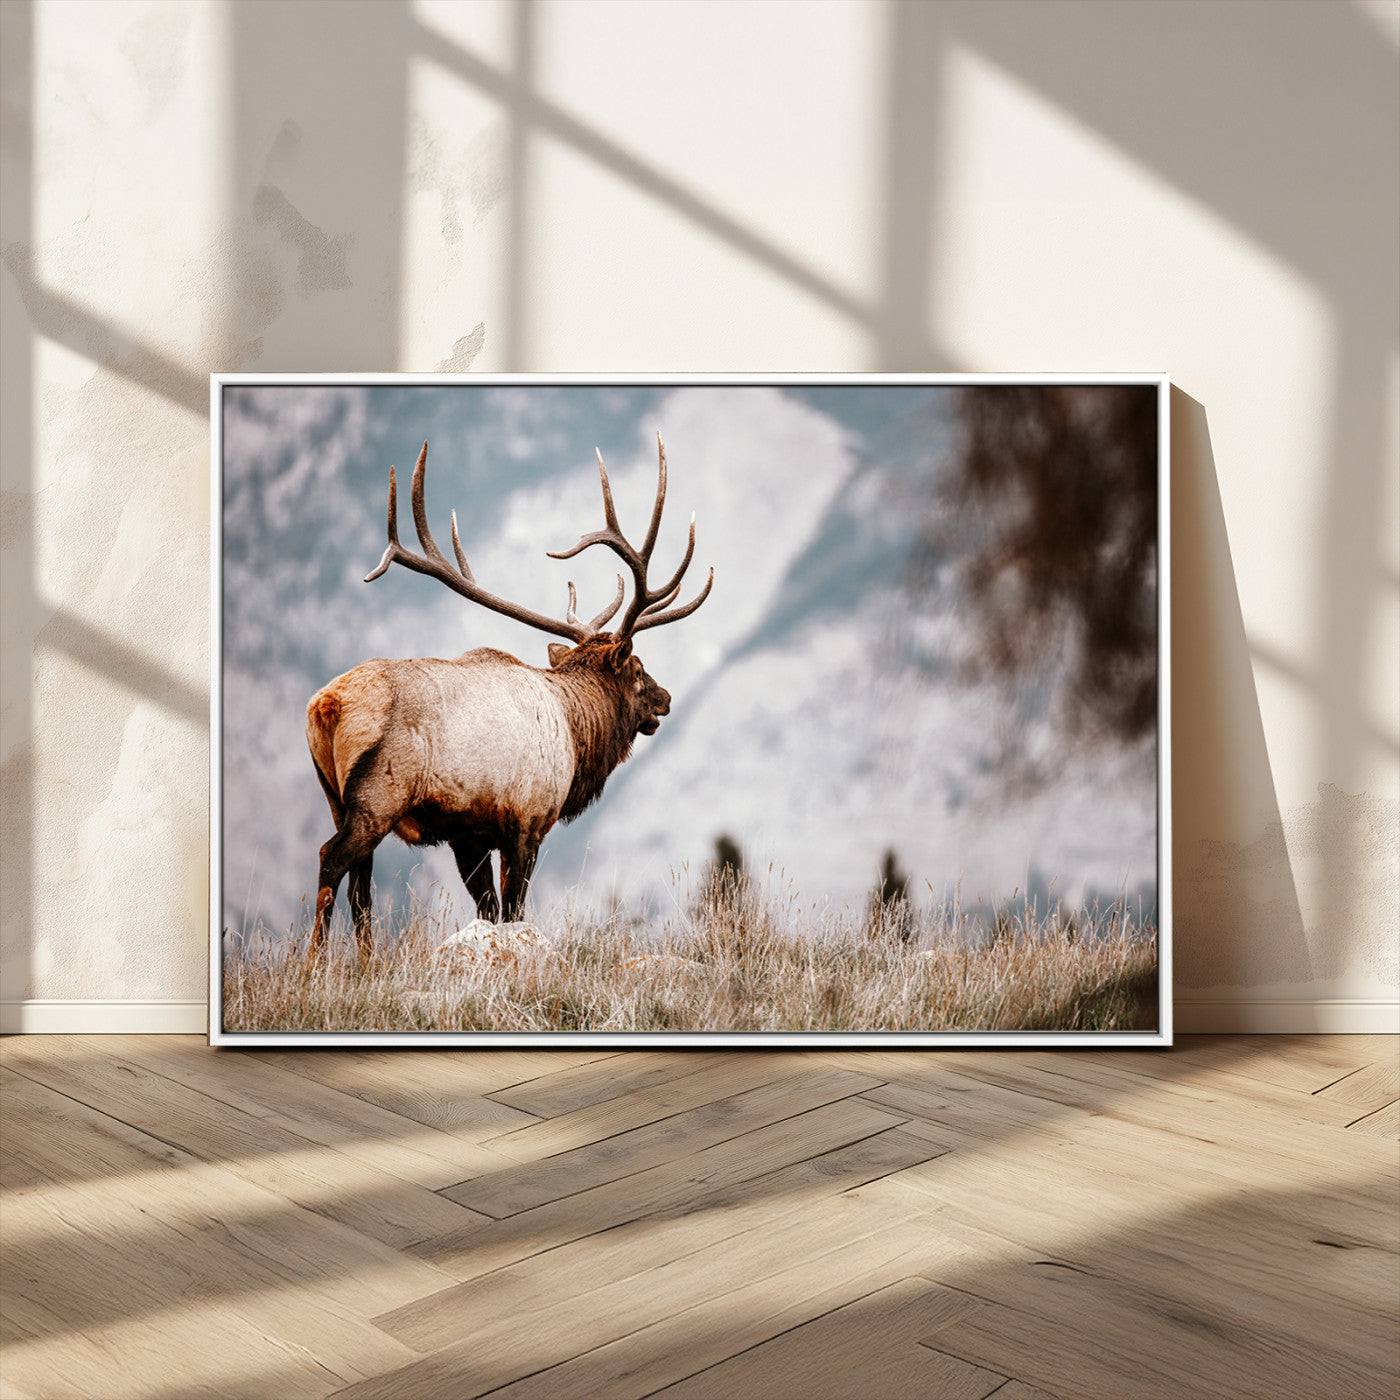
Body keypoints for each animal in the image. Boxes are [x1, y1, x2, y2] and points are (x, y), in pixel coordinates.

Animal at [303, 435, 712, 961]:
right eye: (638, 670)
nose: (666, 698)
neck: (576, 736)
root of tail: (326, 705)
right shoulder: (529, 820)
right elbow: (514, 909)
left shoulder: (468, 834)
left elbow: (489, 909)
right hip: (379, 795)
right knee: (332, 860)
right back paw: (311, 963)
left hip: (335, 795)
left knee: (361, 886)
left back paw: (366, 963)